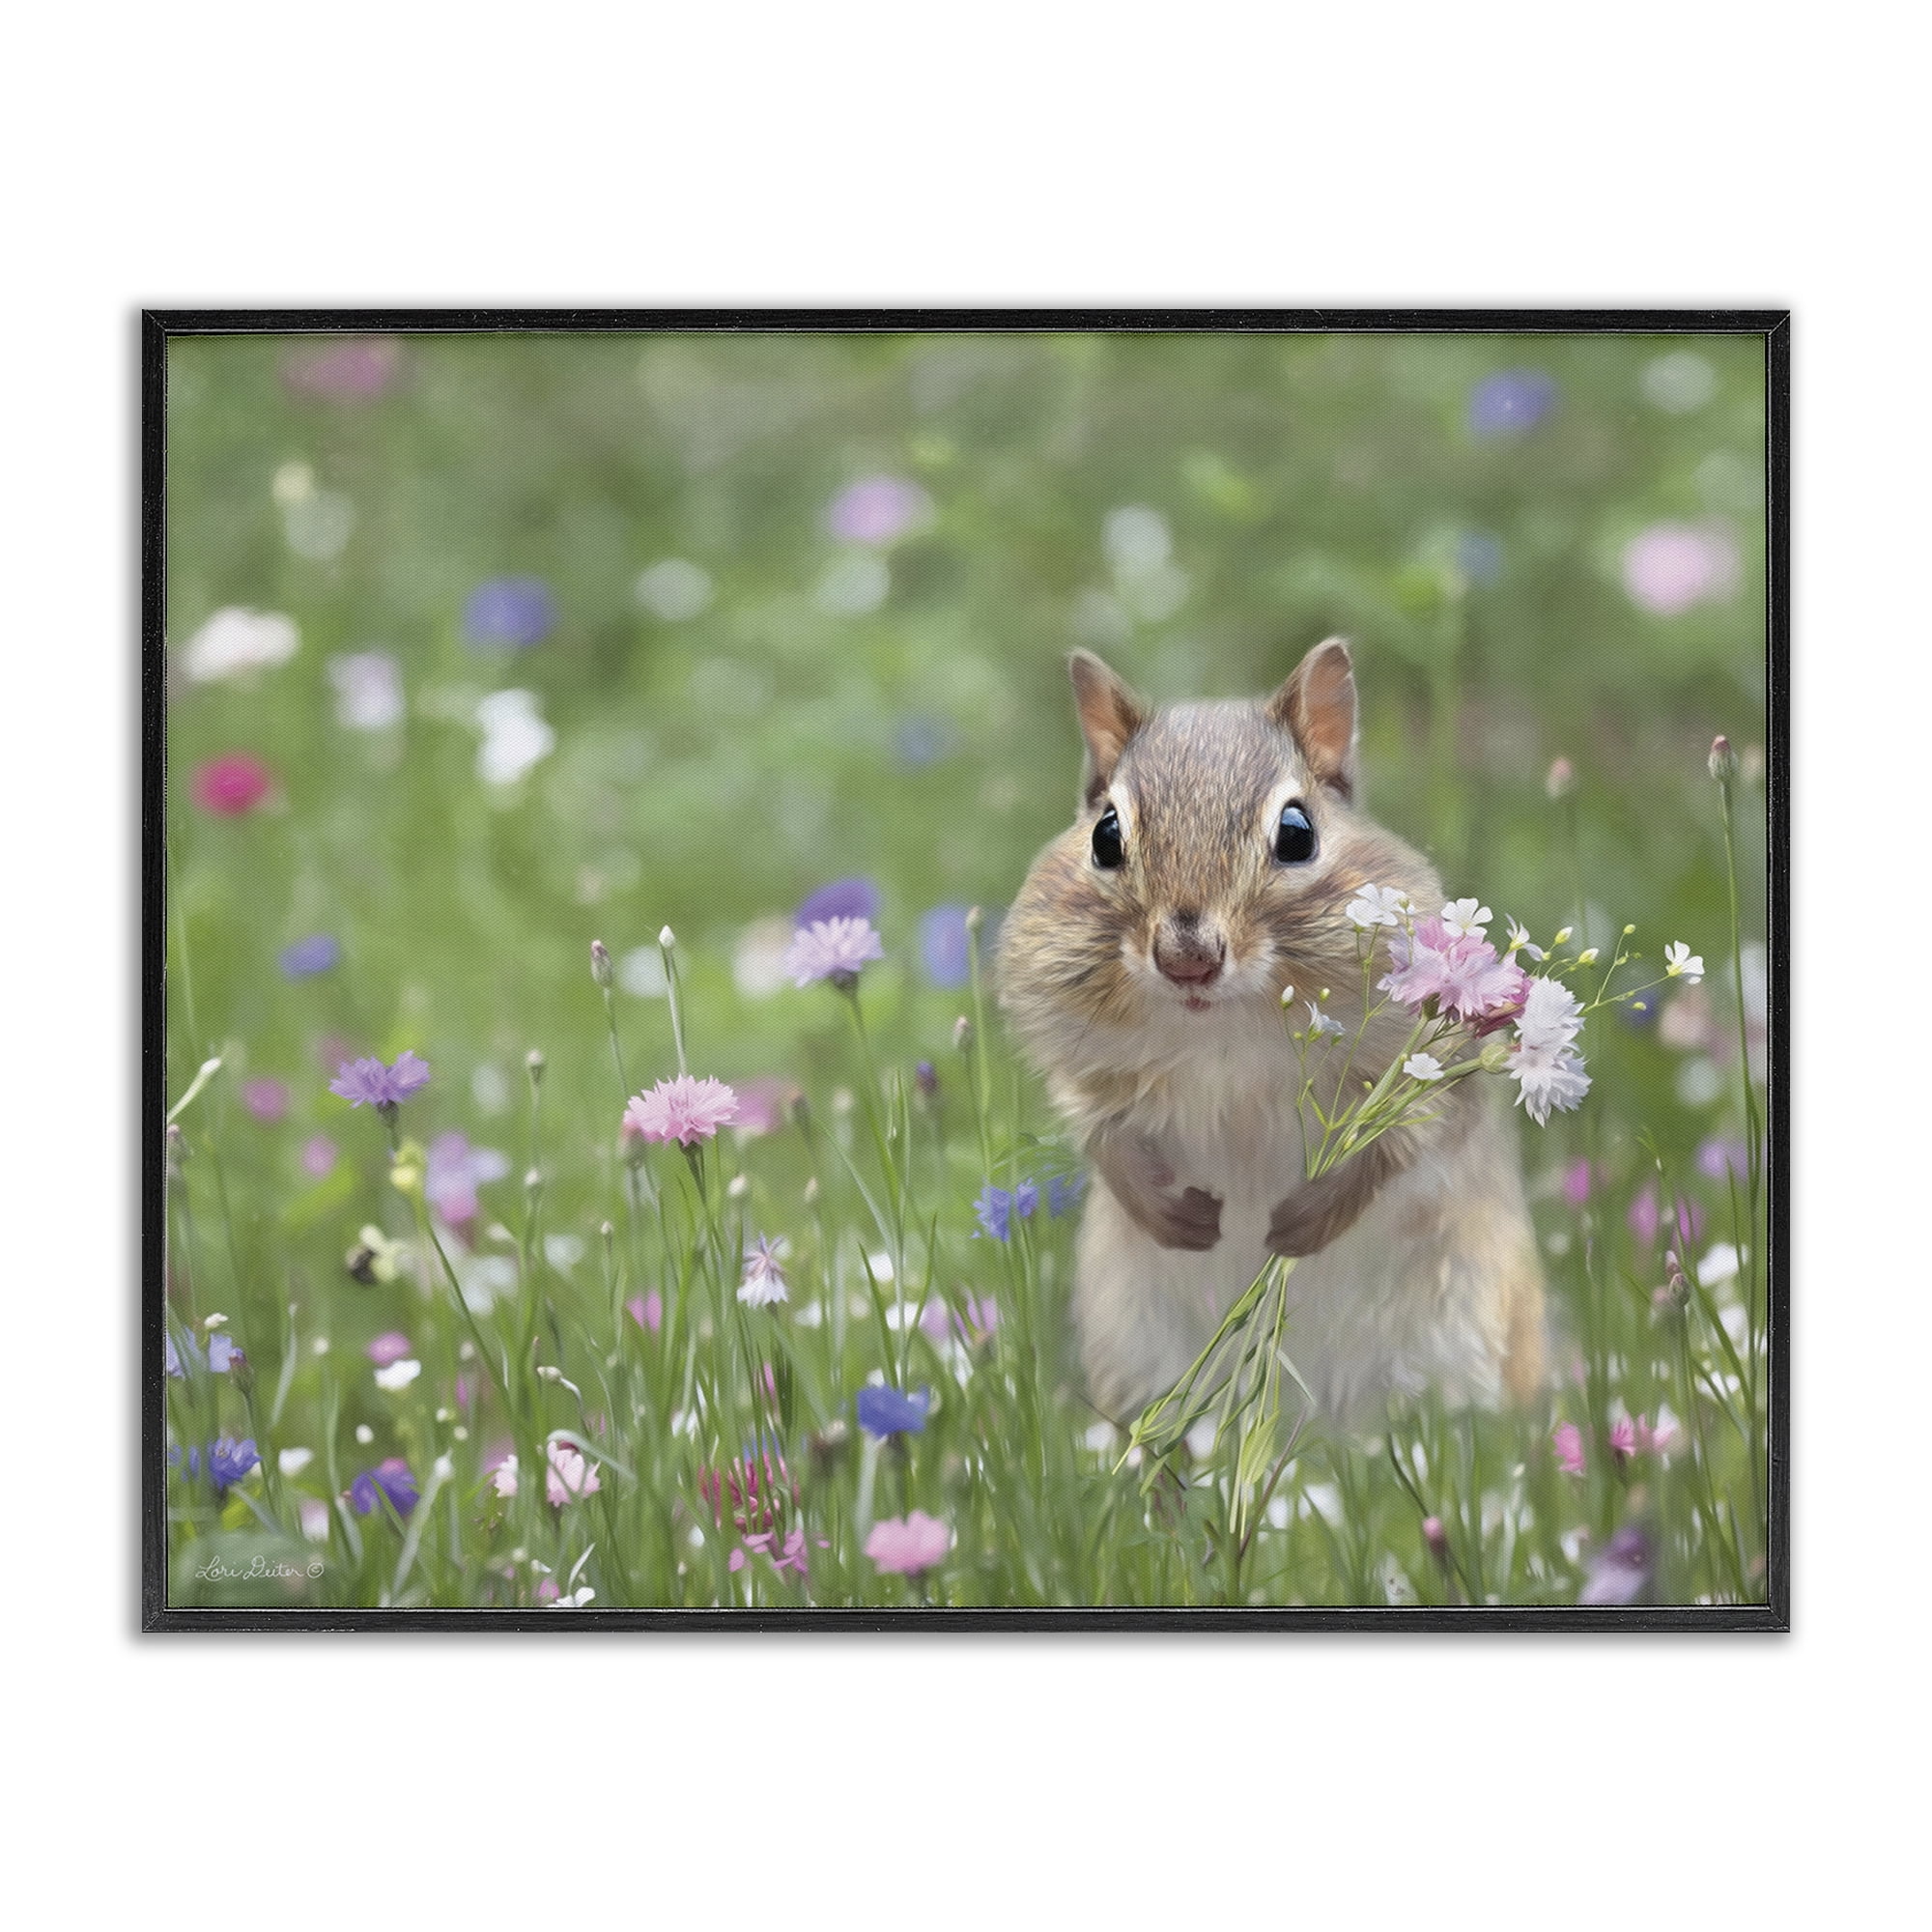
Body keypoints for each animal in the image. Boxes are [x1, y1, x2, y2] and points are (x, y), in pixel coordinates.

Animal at [996, 639, 1546, 1424]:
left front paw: (1301, 1223)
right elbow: (1100, 1134)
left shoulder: (1428, 1069)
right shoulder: (1084, 1067)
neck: (1222, 1030)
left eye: (1297, 833)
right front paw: (1173, 1216)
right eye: (1105, 835)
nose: (1187, 959)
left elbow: (1402, 1144)